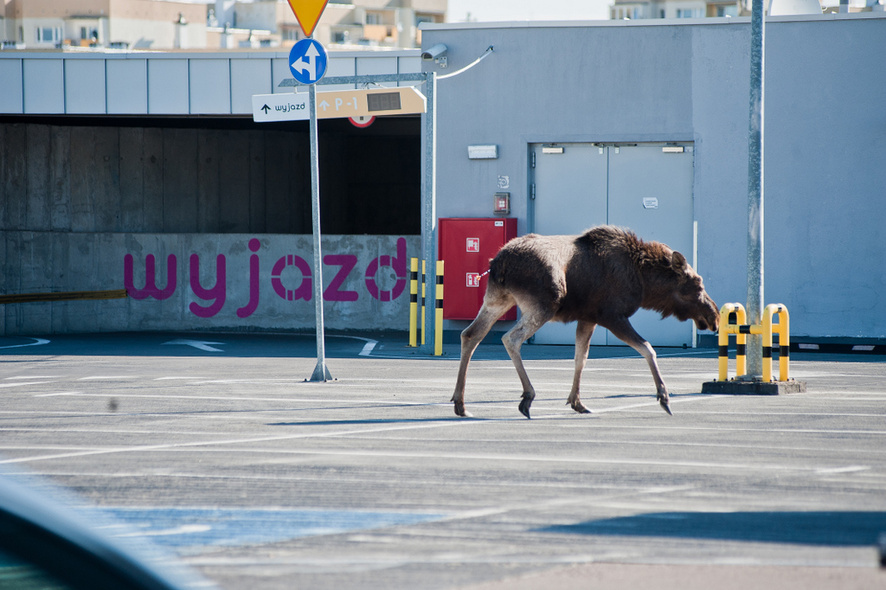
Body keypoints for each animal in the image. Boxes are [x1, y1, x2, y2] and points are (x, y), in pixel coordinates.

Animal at [450, 224, 720, 418]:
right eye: (697, 284)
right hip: (544, 303)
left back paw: (460, 403)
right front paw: (663, 397)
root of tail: (498, 264)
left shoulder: (588, 318)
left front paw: (577, 402)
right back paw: (527, 396)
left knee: (470, 334)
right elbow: (648, 349)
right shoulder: (612, 316)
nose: (714, 316)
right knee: (510, 338)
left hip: (498, 300)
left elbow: (581, 357)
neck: (644, 282)